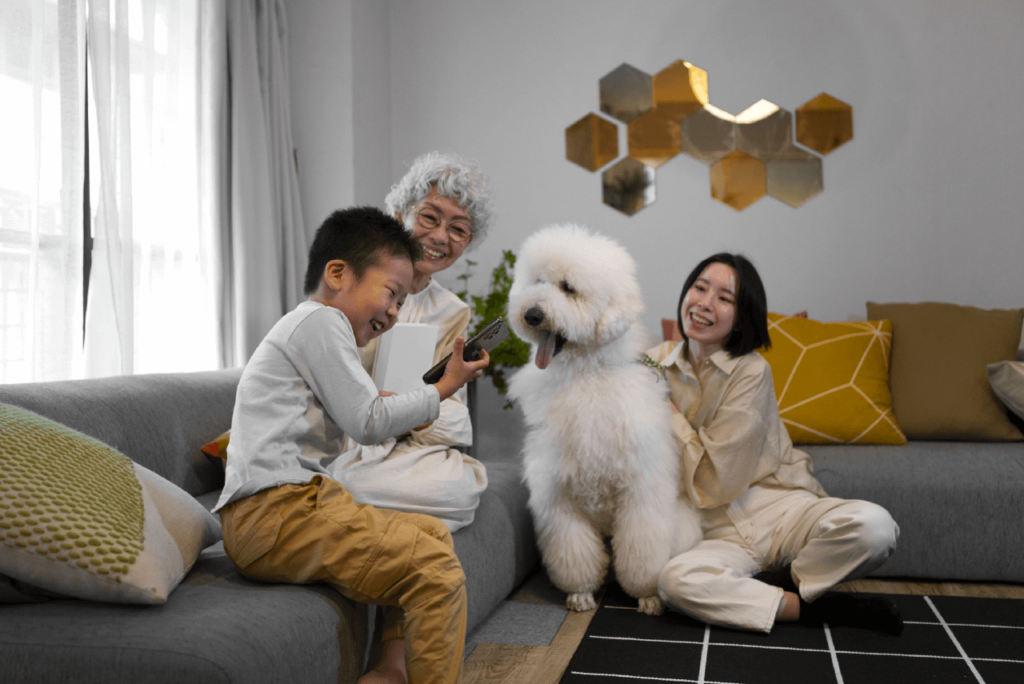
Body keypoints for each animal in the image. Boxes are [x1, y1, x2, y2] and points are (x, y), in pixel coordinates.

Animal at [505, 223, 700, 614]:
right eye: (537, 282)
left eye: (568, 288)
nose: (531, 314)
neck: (586, 376)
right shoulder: (557, 498)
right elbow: (573, 553)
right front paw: (580, 593)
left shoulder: (642, 494)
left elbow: (642, 553)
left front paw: (647, 595)